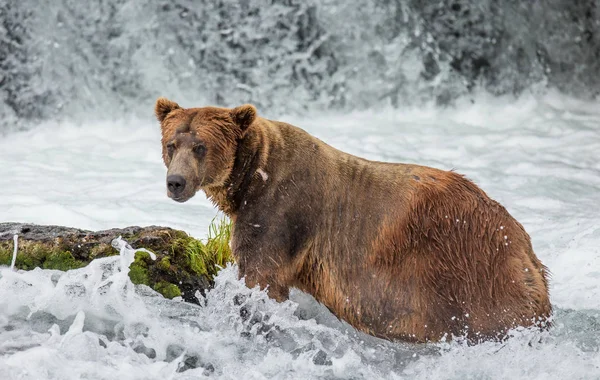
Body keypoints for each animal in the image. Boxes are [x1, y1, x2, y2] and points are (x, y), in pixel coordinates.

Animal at [156, 97, 552, 342]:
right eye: (171, 144)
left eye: (201, 146)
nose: (176, 182)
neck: (252, 176)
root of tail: (525, 247)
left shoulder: (280, 211)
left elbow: (260, 276)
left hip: (467, 272)